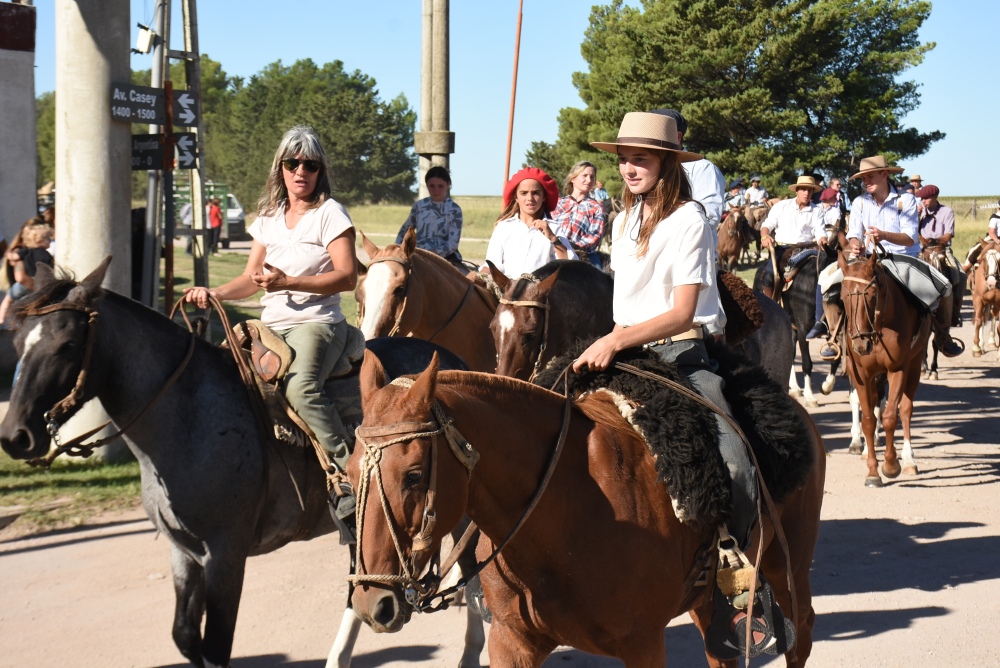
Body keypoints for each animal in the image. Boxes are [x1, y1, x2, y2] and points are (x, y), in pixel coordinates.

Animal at [0, 260, 484, 668]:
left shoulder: (226, 556)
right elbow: (185, 638)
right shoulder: (184, 551)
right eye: (18, 340)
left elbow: (216, 647)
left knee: (471, 573)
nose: (15, 436)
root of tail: (454, 363)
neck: (187, 413)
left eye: (66, 344)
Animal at [348, 352, 824, 664]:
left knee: (801, 632)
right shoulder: (511, 642)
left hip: (787, 566)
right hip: (709, 596)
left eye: (413, 475)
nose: (373, 602)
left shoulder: (643, 645)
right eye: (350, 473)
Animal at [836, 250, 928, 486]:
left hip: (914, 364)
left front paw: (891, 465)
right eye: (843, 296)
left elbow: (889, 417)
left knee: (905, 409)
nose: (860, 344)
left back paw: (908, 459)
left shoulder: (898, 369)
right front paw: (872, 472)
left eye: (872, 294)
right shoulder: (861, 373)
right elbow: (869, 420)